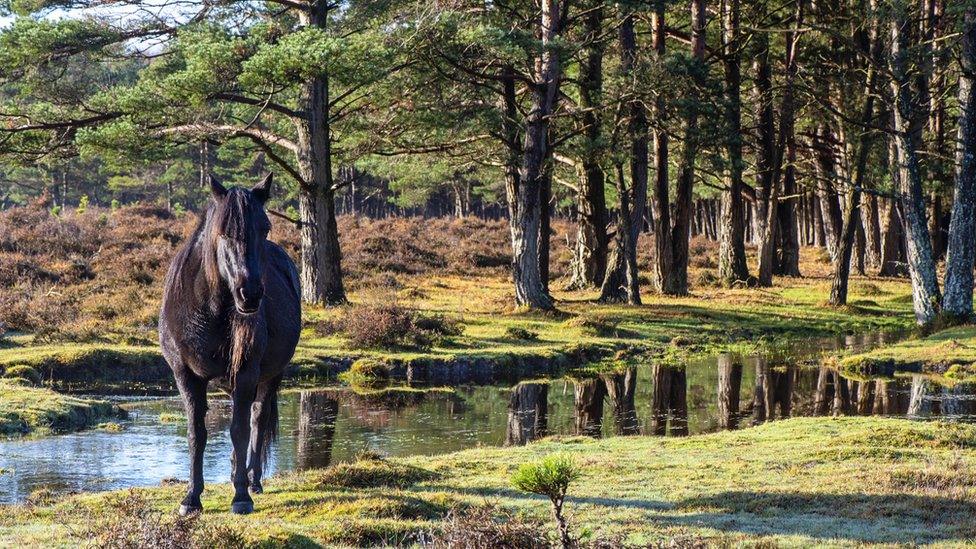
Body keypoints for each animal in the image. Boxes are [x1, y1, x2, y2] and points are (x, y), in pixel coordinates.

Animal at [159, 172, 302, 512]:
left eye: (265, 228)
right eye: (223, 232)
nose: (249, 294)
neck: (208, 313)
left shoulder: (247, 373)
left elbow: (239, 430)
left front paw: (241, 496)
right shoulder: (185, 375)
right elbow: (197, 433)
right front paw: (191, 498)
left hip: (271, 375)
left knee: (257, 420)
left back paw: (253, 480)